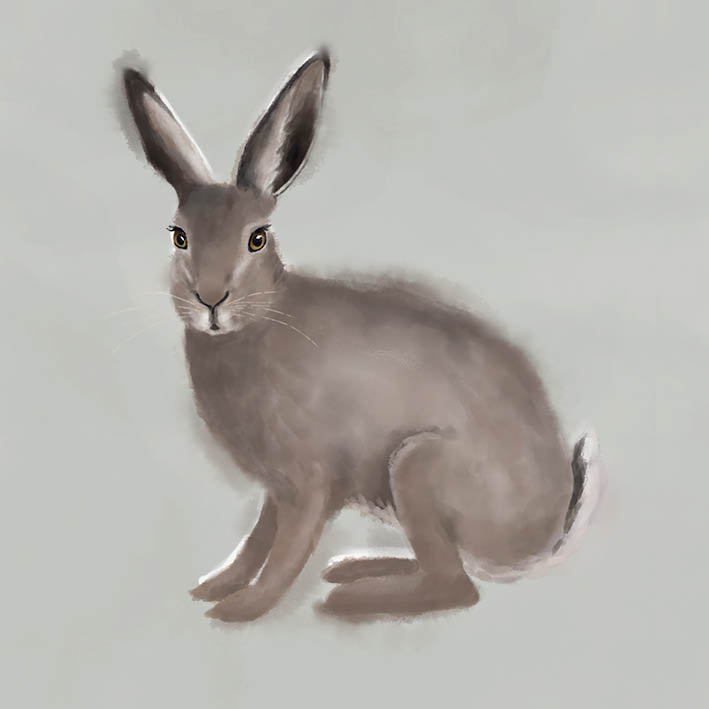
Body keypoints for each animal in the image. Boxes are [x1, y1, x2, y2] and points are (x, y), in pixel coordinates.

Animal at [121, 48, 601, 622]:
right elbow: (259, 539)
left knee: (455, 586)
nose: (210, 300)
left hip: (416, 468)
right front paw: (216, 587)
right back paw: (353, 568)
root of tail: (543, 534)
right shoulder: (277, 488)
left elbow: (285, 550)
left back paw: (350, 598)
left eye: (257, 239)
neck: (263, 319)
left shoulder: (309, 481)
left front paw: (241, 609)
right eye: (180, 236)